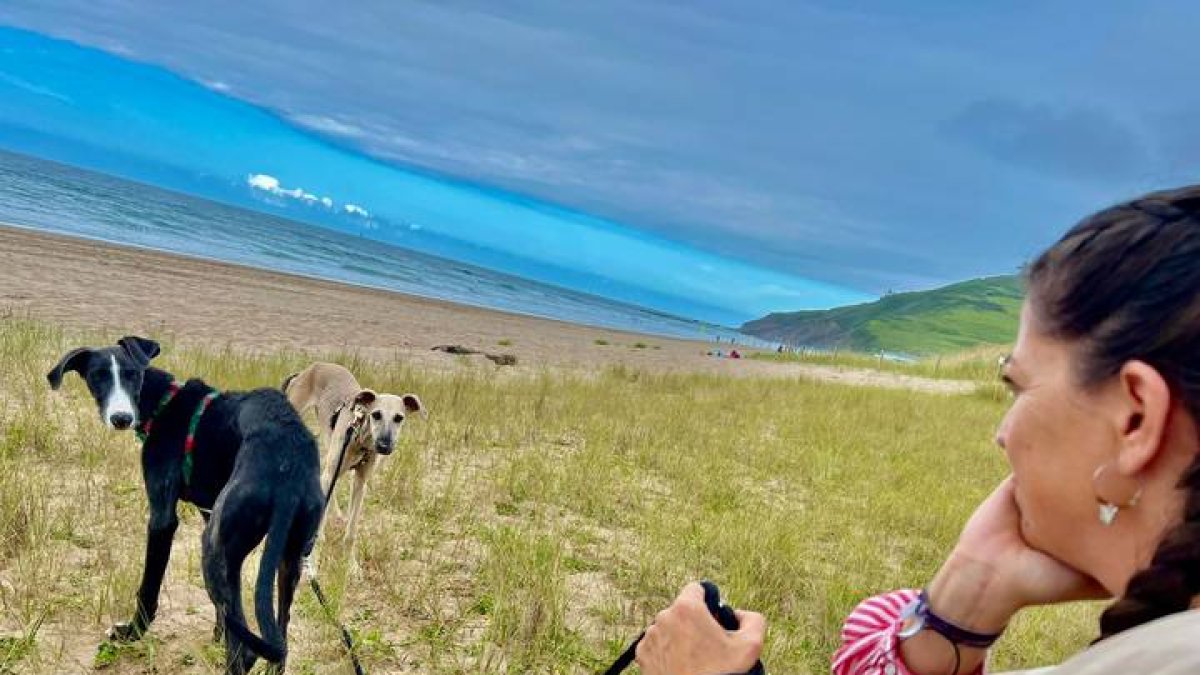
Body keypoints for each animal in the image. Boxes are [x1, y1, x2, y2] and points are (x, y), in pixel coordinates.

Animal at [48, 336, 324, 672]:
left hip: (215, 549)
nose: (121, 419)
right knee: (278, 644)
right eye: (97, 376)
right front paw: (217, 632)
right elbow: (223, 613)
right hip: (287, 559)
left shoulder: (162, 518)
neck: (164, 403)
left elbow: (149, 585)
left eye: (131, 374)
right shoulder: (209, 513)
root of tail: (289, 474)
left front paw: (132, 632)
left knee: (244, 651)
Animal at [283, 360, 424, 569]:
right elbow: (318, 531)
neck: (361, 439)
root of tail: (308, 369)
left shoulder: (360, 483)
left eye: (399, 418)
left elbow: (351, 532)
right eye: (376, 415)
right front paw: (313, 559)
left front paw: (351, 566)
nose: (384, 446)